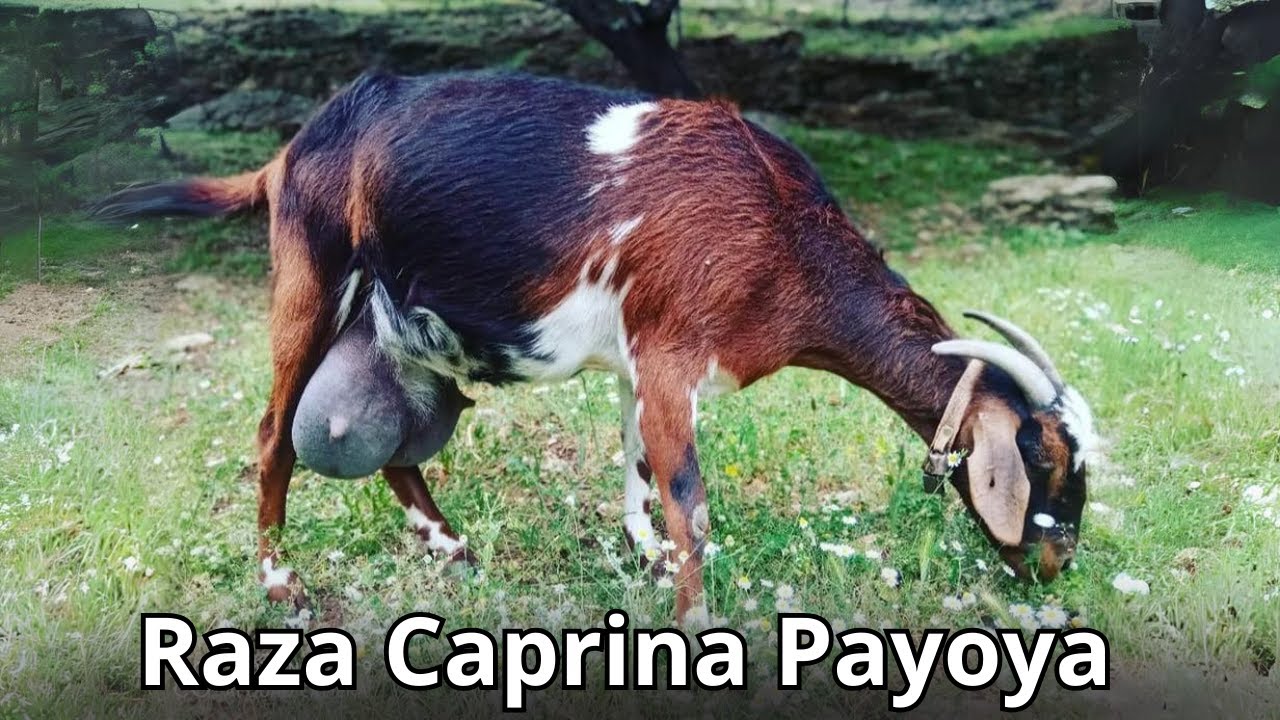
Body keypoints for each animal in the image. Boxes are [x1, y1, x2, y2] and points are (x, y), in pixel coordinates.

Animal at [93, 71, 1097, 625]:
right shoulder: (670, 354)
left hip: (399, 330)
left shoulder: (640, 358)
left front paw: (643, 558)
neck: (781, 229)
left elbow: (638, 471)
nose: (1059, 568)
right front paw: (696, 621)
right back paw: (282, 584)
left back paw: (452, 549)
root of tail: (291, 151)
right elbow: (691, 503)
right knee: (273, 434)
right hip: (311, 276)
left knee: (395, 450)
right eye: (1046, 461)